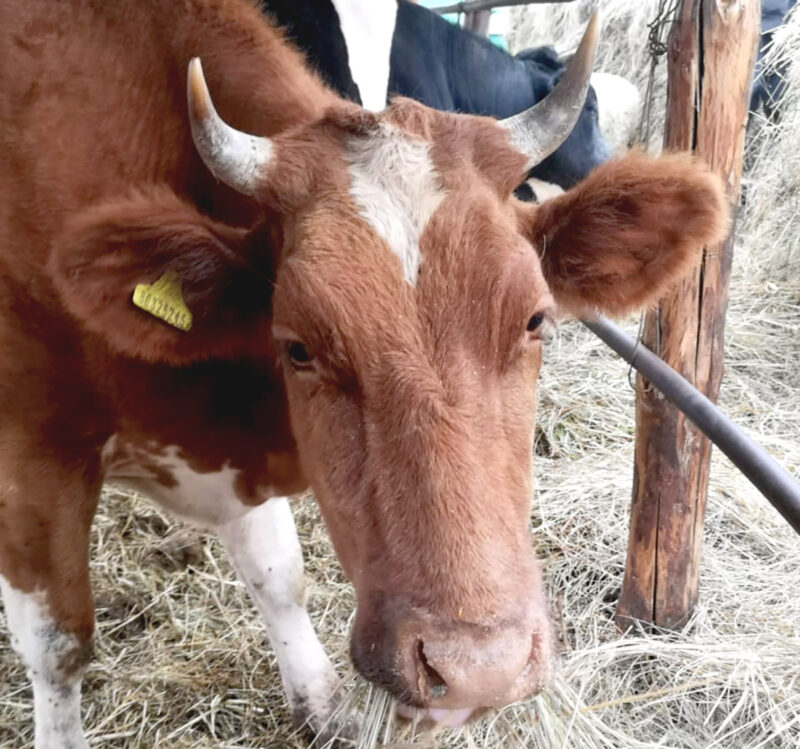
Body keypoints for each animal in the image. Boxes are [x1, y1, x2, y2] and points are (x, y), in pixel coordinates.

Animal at [0, 0, 724, 744]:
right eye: (298, 347)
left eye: (534, 319)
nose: (478, 669)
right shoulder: (31, 462)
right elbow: (59, 646)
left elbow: (278, 574)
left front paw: (320, 703)